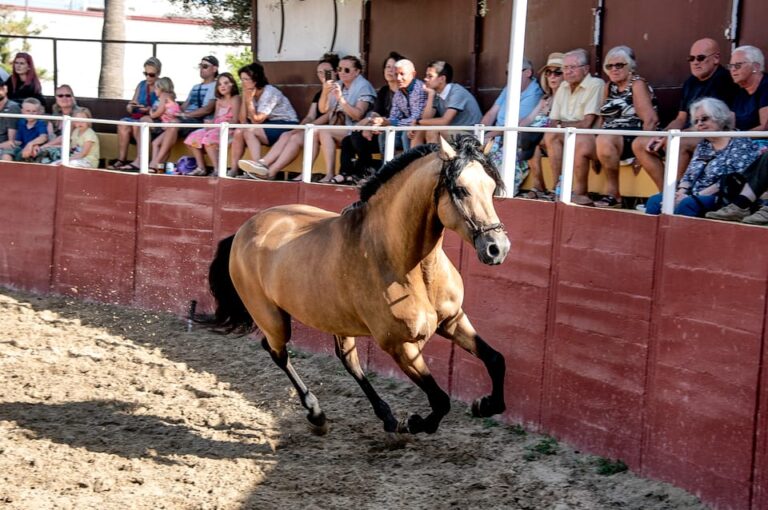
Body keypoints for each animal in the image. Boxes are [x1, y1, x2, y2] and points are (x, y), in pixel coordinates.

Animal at [205, 135, 511, 436]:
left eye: (491, 187)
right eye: (460, 190)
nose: (498, 248)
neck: (405, 265)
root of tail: (243, 230)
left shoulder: (453, 319)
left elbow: (496, 360)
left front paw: (485, 405)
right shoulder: (401, 346)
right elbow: (440, 400)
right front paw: (414, 423)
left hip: (335, 321)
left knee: (348, 361)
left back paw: (385, 417)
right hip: (272, 318)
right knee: (277, 353)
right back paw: (317, 414)